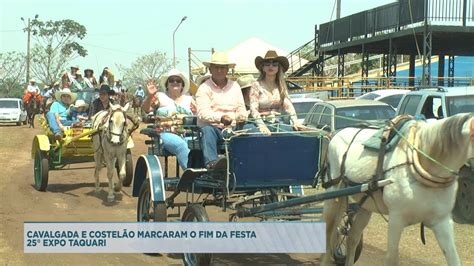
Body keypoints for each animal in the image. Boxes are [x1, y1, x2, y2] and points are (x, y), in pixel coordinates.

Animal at [320, 114, 472, 266]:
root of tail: (335, 133)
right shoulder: (396, 219)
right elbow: (391, 258)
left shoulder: (442, 220)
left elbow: (453, 258)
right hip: (333, 198)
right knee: (329, 234)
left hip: (365, 205)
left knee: (352, 239)